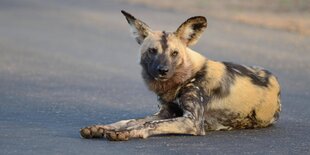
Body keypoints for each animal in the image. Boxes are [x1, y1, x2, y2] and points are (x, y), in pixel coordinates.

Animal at [79, 9, 280, 140]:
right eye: (152, 51)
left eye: (174, 53)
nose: (163, 70)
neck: (183, 79)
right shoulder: (164, 113)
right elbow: (128, 120)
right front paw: (101, 128)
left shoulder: (192, 121)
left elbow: (147, 124)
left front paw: (125, 133)